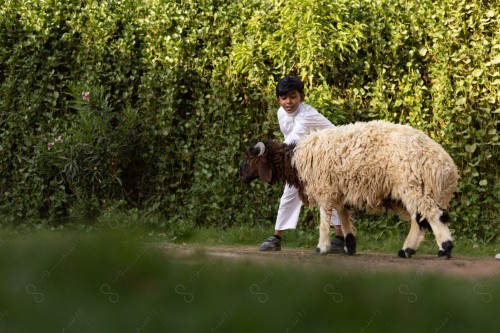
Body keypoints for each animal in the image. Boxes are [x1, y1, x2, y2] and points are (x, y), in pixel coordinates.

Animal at [240, 120, 458, 258]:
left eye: (250, 158)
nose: (239, 176)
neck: (296, 161)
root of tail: (449, 170)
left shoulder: (325, 188)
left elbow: (324, 220)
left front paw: (322, 247)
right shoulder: (339, 191)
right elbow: (344, 218)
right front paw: (349, 246)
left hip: (416, 188)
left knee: (432, 216)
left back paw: (445, 249)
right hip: (419, 190)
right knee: (419, 220)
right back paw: (407, 251)